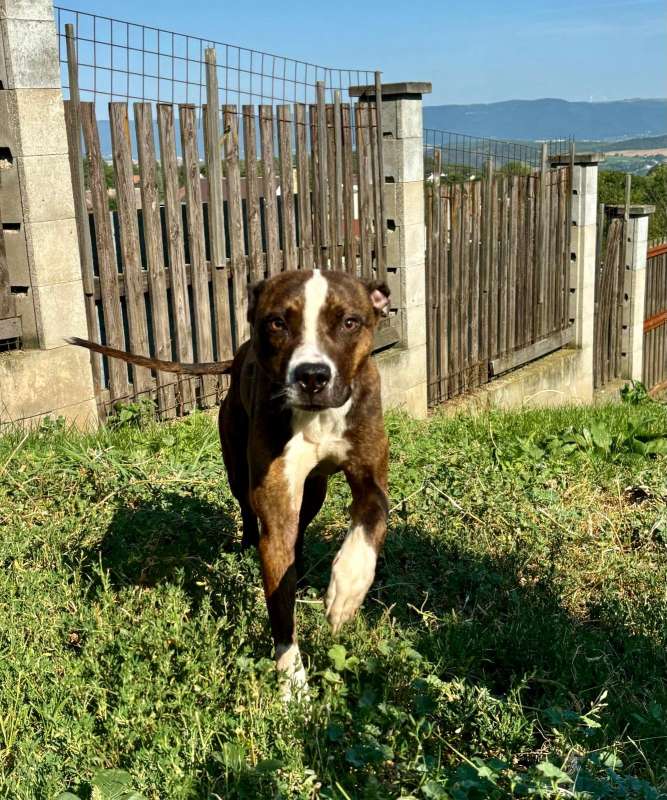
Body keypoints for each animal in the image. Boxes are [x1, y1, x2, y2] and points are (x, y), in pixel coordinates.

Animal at [69, 268, 390, 699]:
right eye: (277, 322)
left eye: (350, 322)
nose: (312, 376)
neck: (318, 418)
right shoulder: (275, 503)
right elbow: (280, 606)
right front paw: (294, 685)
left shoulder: (370, 475)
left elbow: (373, 516)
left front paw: (347, 589)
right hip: (240, 467)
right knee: (249, 511)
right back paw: (249, 544)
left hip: (314, 491)